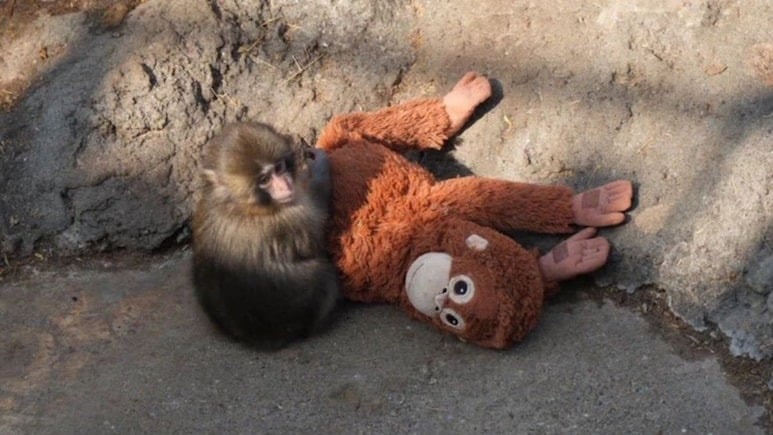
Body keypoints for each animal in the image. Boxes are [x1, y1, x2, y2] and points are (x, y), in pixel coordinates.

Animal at [192, 121, 340, 348]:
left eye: (279, 168)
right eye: (264, 179)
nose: (286, 184)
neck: (239, 205)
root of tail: (264, 337)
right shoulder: (294, 216)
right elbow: (316, 238)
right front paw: (319, 167)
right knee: (325, 278)